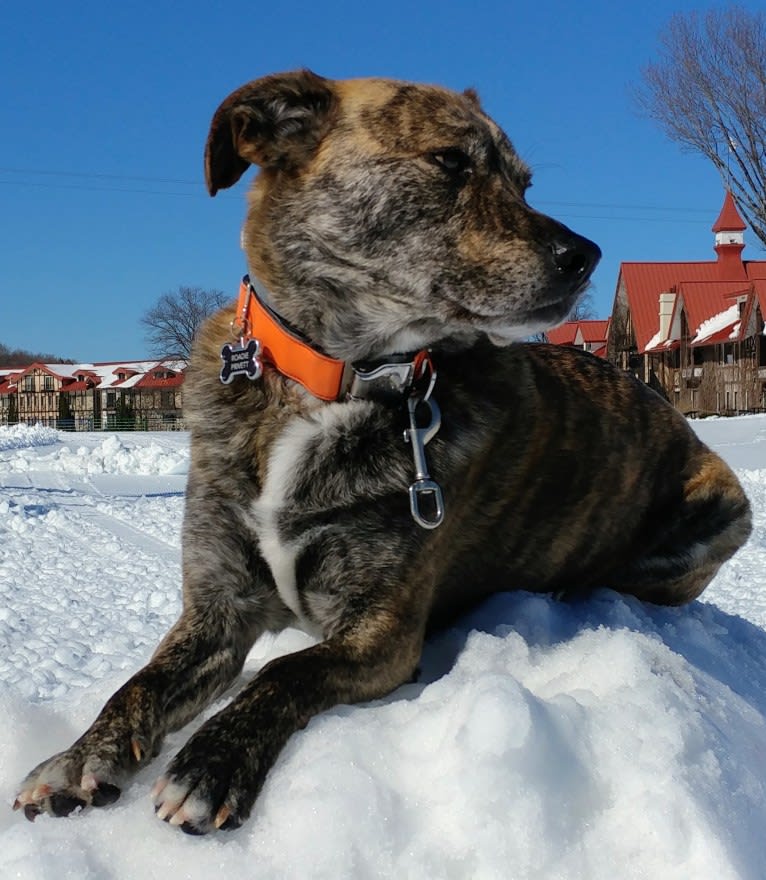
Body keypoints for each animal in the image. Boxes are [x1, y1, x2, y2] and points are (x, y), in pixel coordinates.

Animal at [15, 69, 752, 832]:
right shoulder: (217, 608)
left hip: (721, 510)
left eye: (523, 182)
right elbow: (141, 683)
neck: (334, 381)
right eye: (451, 162)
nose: (586, 256)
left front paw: (210, 764)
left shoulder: (382, 632)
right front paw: (77, 758)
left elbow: (284, 670)